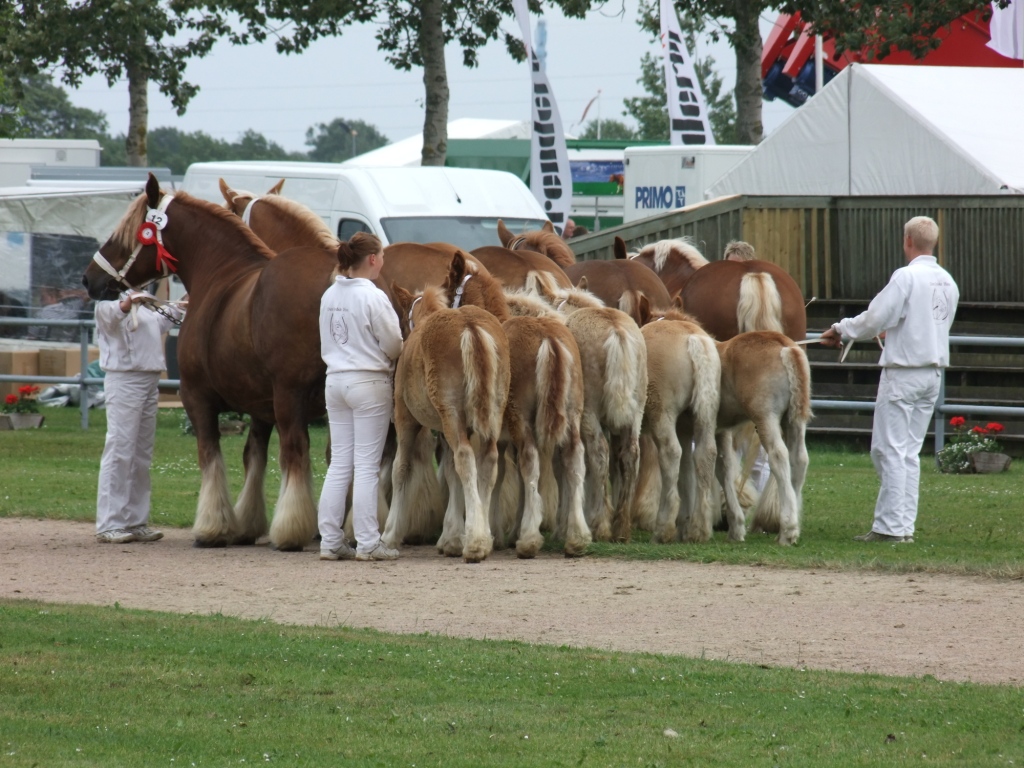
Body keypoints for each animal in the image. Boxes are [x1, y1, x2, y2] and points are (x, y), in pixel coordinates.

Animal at [84, 176, 331, 552]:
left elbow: (210, 454)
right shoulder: (261, 404)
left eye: (124, 234)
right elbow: (253, 455)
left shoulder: (196, 396)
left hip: (292, 396)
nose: (89, 279)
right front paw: (247, 523)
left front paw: (213, 527)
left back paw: (291, 530)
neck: (223, 274)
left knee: (296, 451)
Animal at [382, 286, 509, 561]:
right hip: (491, 414)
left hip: (450, 414)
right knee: (487, 462)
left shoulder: (406, 420)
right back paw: (483, 537)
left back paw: (475, 543)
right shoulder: (445, 429)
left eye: (403, 318)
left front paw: (390, 534)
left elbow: (401, 469)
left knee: (465, 458)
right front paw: (451, 538)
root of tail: (469, 325)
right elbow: (451, 472)